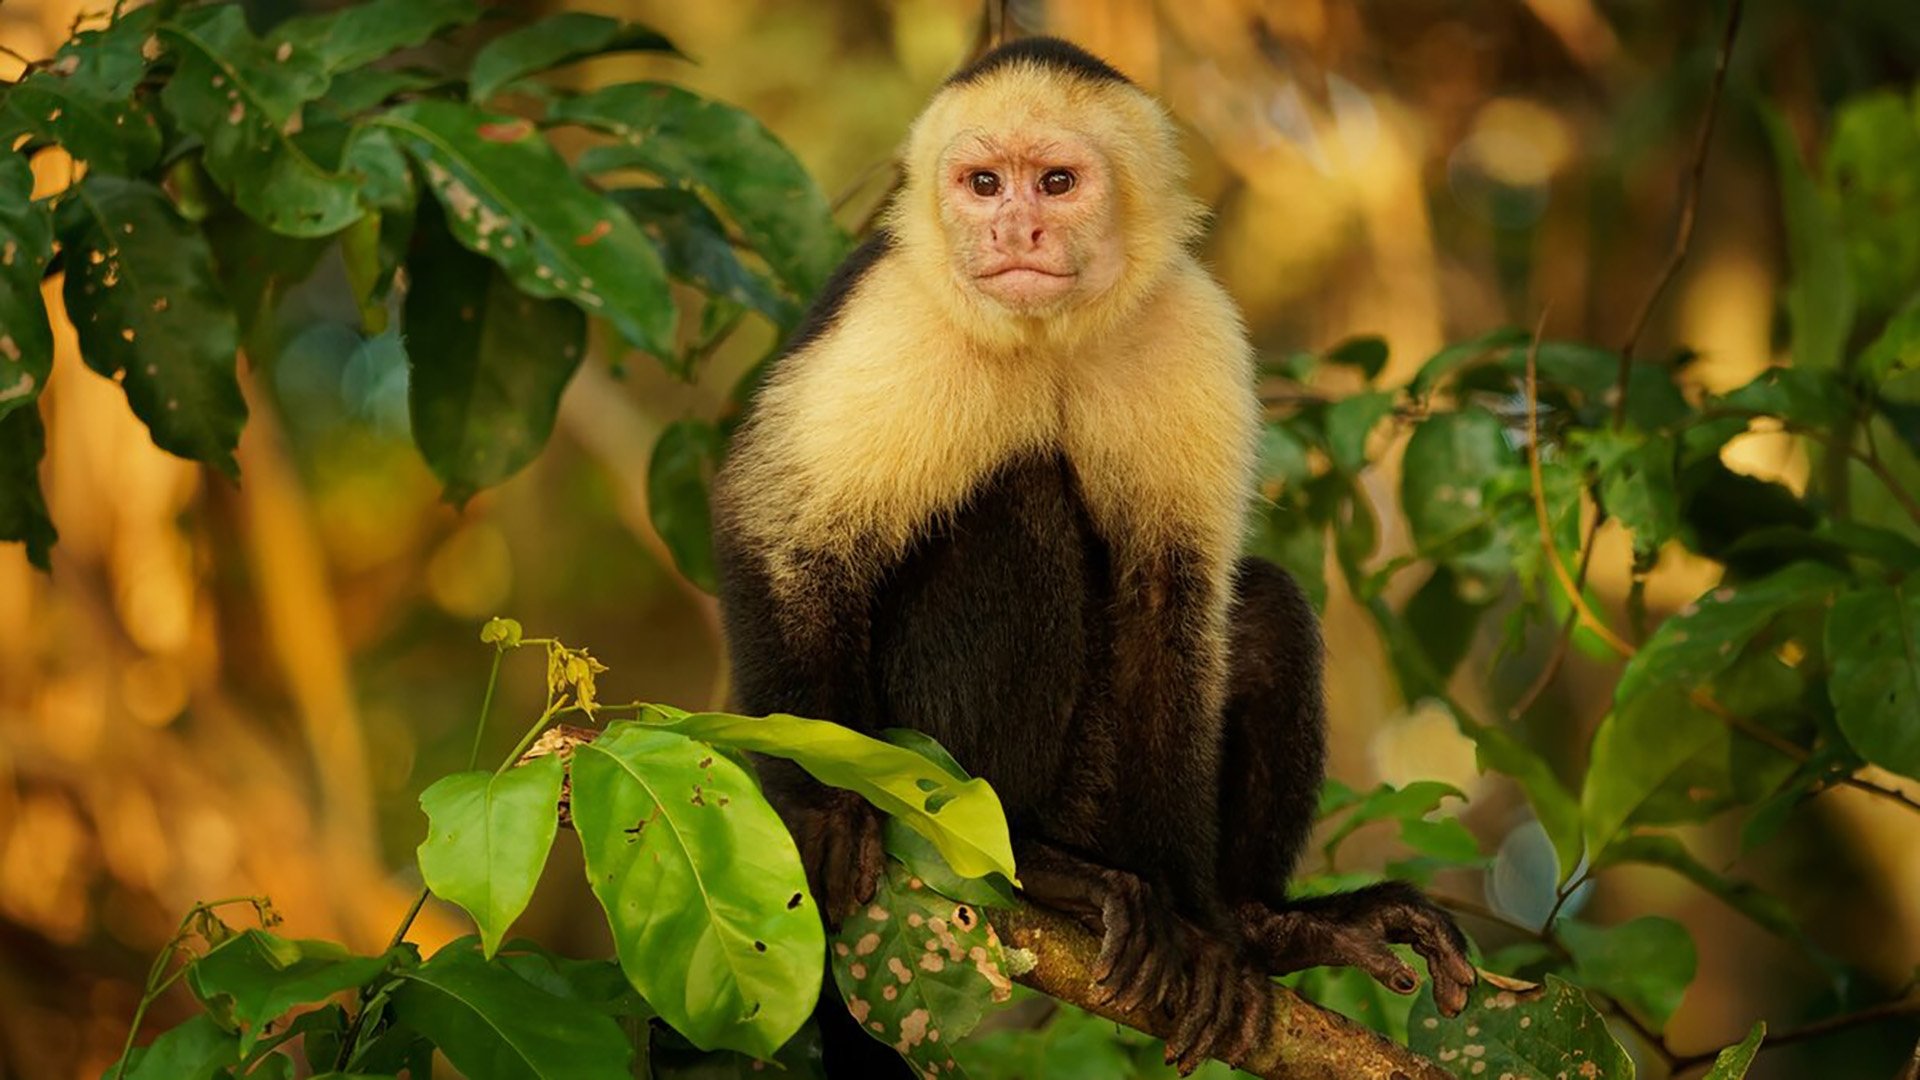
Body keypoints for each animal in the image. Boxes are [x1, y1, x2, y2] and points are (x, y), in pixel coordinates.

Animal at [711, 36, 1475, 1076]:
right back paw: (1032, 866)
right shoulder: (892, 314)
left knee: (1264, 609)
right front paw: (823, 809)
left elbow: (1172, 602)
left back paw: (1263, 923)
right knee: (1020, 510)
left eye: (1057, 183)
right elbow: (780, 531)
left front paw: (1206, 932)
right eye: (983, 184)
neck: (1046, 333)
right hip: (913, 749)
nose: (1017, 230)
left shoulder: (1192, 326)